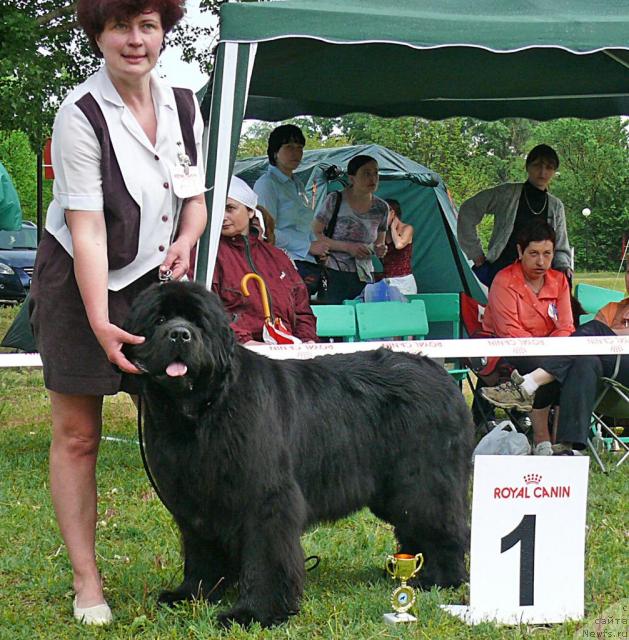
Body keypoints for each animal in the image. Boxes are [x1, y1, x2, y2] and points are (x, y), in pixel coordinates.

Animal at [122, 282, 474, 628]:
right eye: (158, 320)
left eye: (198, 323)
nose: (180, 334)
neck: (203, 412)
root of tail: (440, 374)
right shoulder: (195, 499)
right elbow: (202, 552)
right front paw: (192, 594)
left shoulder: (265, 498)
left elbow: (265, 557)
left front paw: (255, 613)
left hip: (423, 482)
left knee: (443, 525)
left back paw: (438, 578)